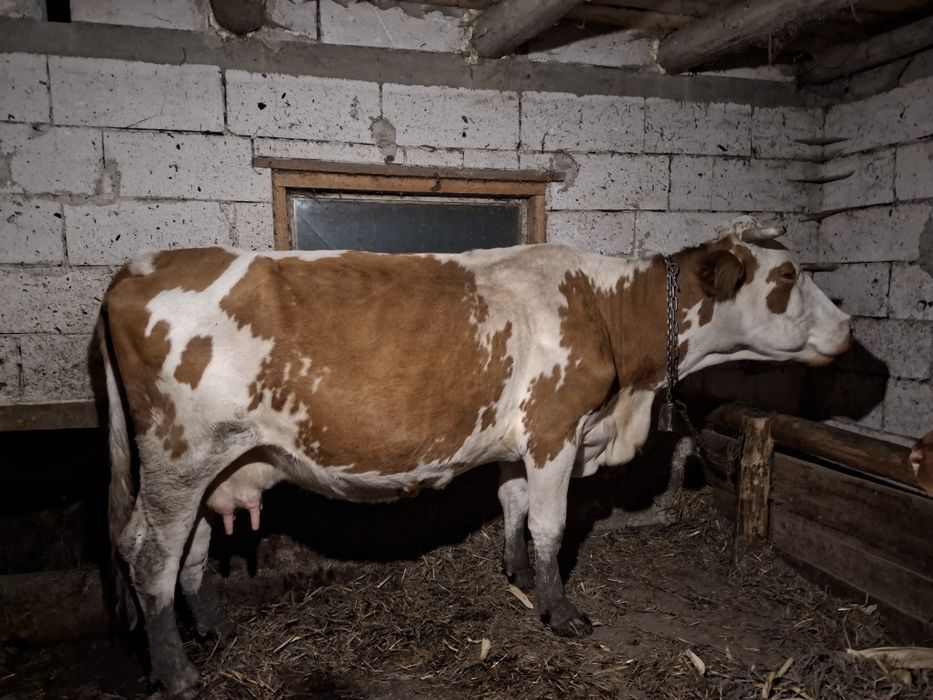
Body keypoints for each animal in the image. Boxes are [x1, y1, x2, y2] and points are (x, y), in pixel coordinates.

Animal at [97, 217, 851, 697]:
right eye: (788, 274)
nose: (847, 326)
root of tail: (136, 268)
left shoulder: (520, 443)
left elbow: (513, 507)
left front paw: (514, 576)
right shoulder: (555, 428)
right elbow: (551, 525)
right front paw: (560, 613)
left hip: (214, 464)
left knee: (193, 550)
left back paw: (215, 629)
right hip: (178, 456)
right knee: (151, 554)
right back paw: (178, 673)